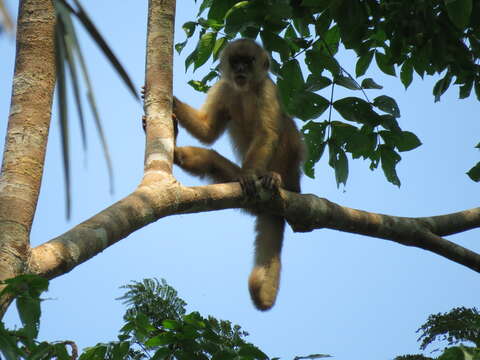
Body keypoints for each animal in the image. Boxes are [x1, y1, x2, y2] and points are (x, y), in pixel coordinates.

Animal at [171, 38, 302, 310]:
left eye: (248, 61)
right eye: (235, 61)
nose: (240, 69)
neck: (245, 89)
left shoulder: (267, 89)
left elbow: (268, 133)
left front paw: (251, 174)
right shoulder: (223, 88)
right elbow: (208, 130)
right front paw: (172, 102)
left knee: (286, 127)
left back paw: (273, 178)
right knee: (212, 161)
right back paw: (178, 153)